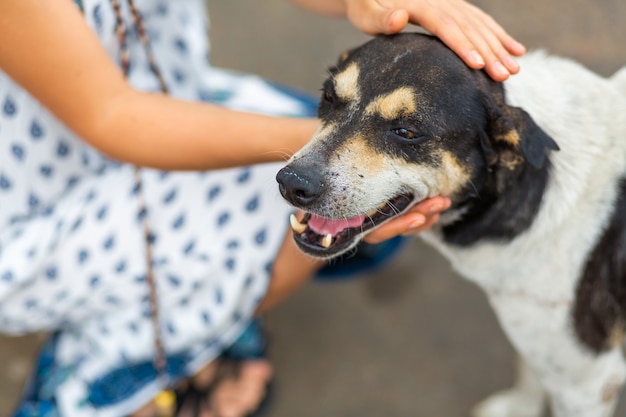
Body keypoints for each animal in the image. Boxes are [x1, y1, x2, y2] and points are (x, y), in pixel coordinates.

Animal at [276, 33, 624, 416]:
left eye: (407, 131)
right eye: (328, 97)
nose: (292, 183)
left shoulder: (585, 383)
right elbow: (530, 372)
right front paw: (519, 407)